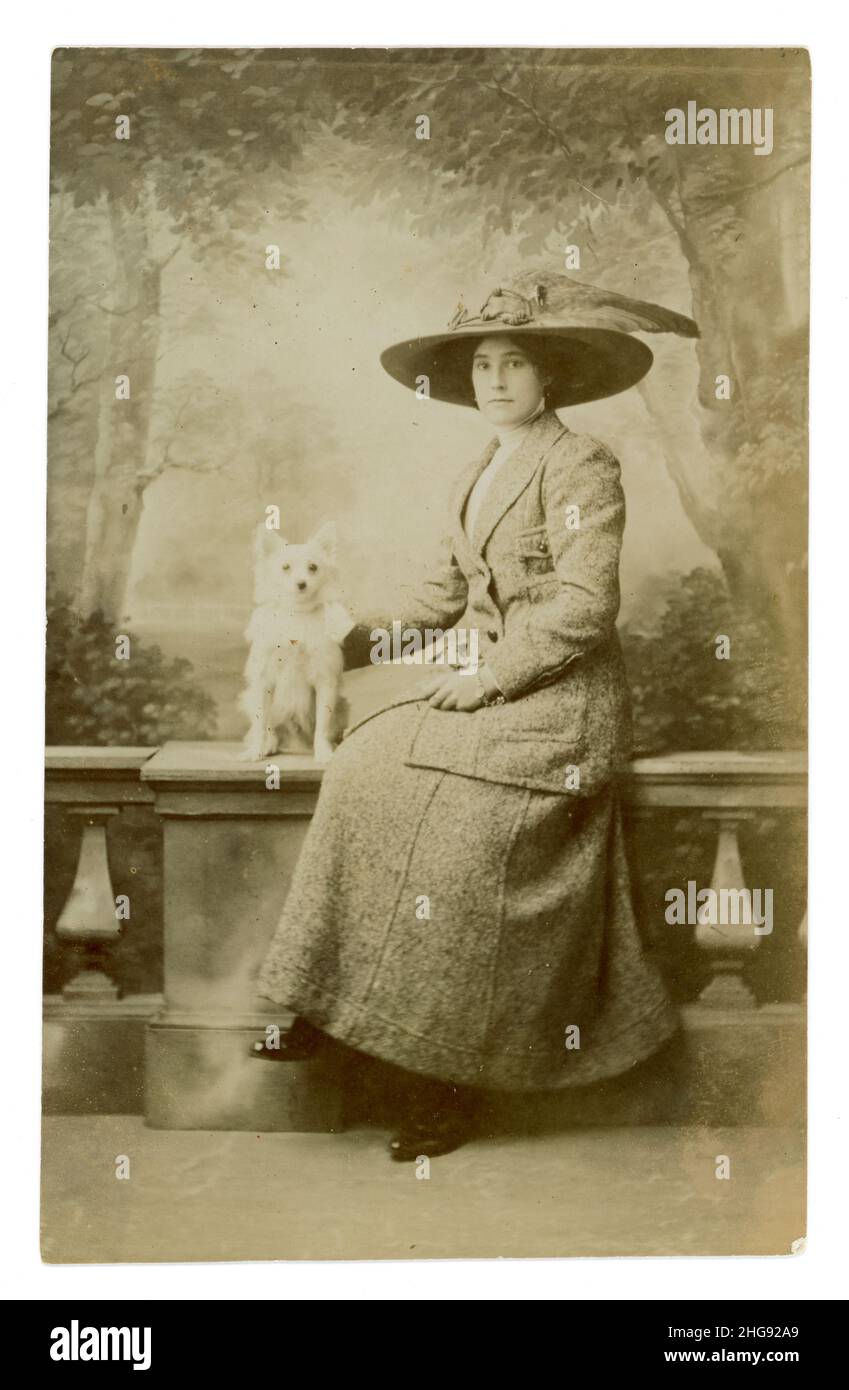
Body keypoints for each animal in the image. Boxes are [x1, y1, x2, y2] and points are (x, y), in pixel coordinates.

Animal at [240, 522, 354, 767]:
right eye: (285, 567)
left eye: (313, 567)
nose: (301, 583)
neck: (297, 612)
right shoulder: (263, 681)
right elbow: (261, 722)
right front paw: (255, 750)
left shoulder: (325, 681)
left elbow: (323, 724)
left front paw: (323, 752)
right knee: (270, 725)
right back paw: (269, 744)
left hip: (341, 706)